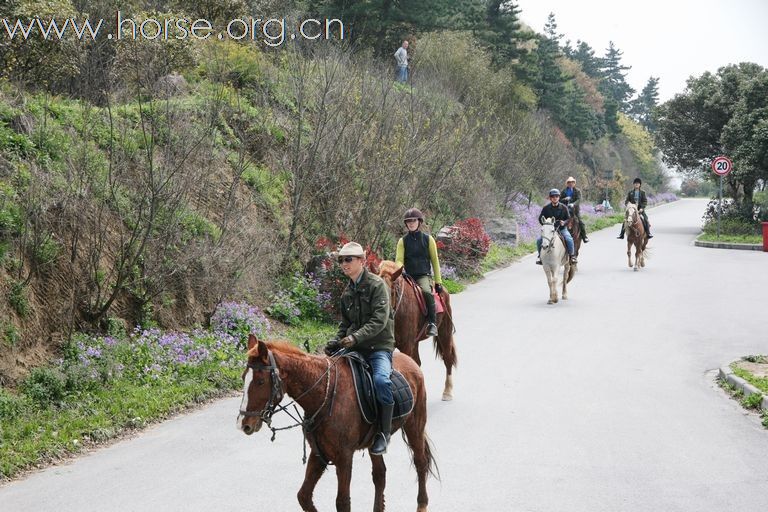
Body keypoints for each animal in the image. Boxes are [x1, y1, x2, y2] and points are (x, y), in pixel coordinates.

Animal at [237, 336, 436, 512]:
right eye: (243, 378)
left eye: (260, 381)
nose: (244, 424)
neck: (325, 394)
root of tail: (411, 361)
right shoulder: (319, 453)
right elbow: (304, 496)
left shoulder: (344, 457)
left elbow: (342, 502)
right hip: (374, 443)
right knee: (380, 475)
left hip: (414, 426)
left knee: (420, 462)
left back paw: (422, 504)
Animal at [376, 262, 456, 402]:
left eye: (392, 292)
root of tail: (444, 292)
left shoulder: (407, 345)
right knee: (417, 363)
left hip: (444, 332)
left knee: (448, 358)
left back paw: (447, 392)